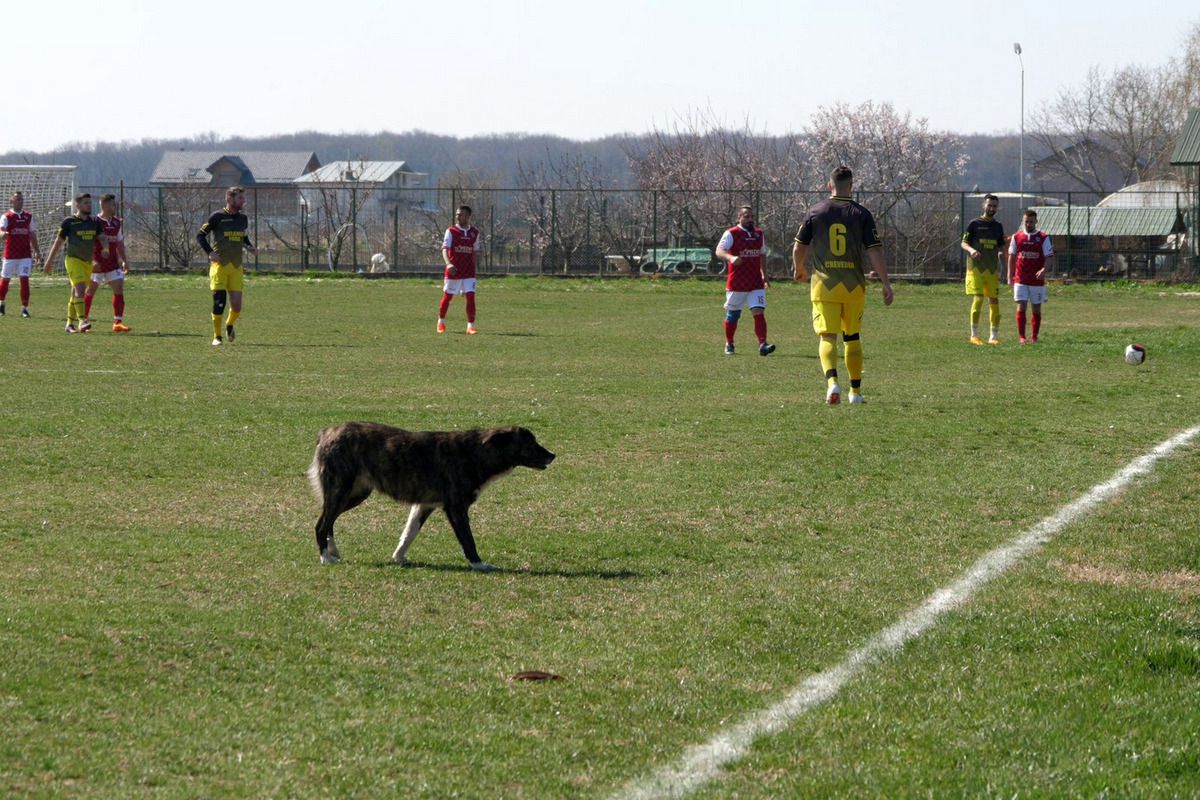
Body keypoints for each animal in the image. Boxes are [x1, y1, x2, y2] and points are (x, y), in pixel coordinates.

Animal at [307, 424, 554, 568]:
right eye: (530, 444)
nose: (553, 455)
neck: (476, 452)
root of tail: (326, 432)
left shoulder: (424, 505)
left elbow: (408, 534)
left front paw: (398, 557)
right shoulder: (456, 508)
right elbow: (468, 540)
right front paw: (478, 564)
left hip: (354, 494)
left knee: (329, 522)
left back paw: (332, 550)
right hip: (340, 491)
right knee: (321, 524)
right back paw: (325, 557)